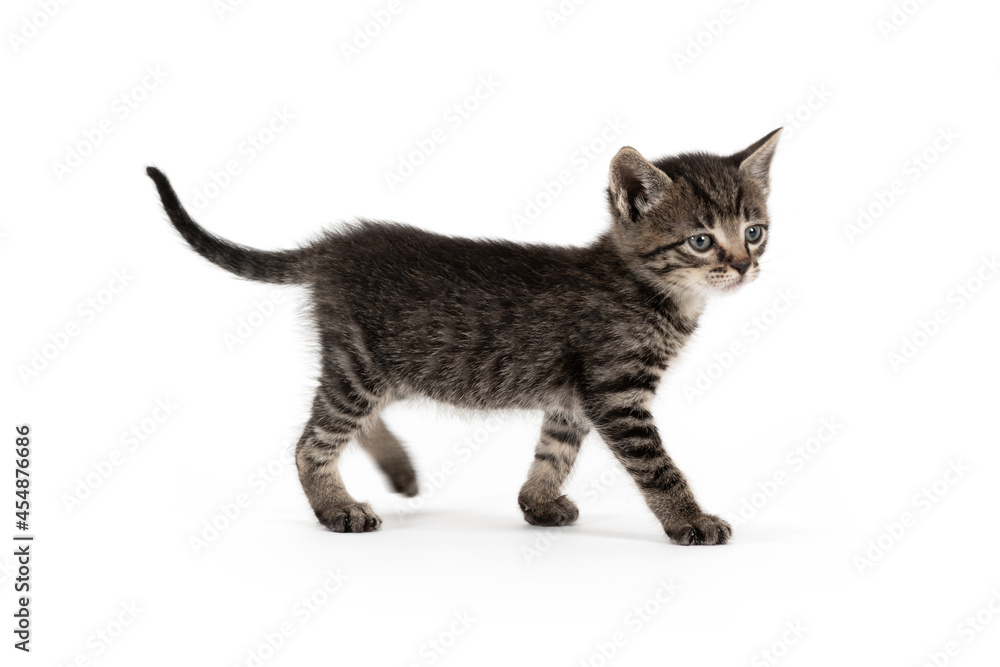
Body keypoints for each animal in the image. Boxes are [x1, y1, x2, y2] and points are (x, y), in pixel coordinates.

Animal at [150, 128, 780, 544]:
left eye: (755, 231)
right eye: (701, 240)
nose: (744, 266)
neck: (658, 294)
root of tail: (335, 246)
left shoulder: (574, 396)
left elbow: (555, 451)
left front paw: (536, 503)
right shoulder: (616, 391)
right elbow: (657, 467)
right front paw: (690, 520)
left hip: (389, 366)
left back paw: (398, 469)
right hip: (363, 364)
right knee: (313, 441)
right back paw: (336, 508)